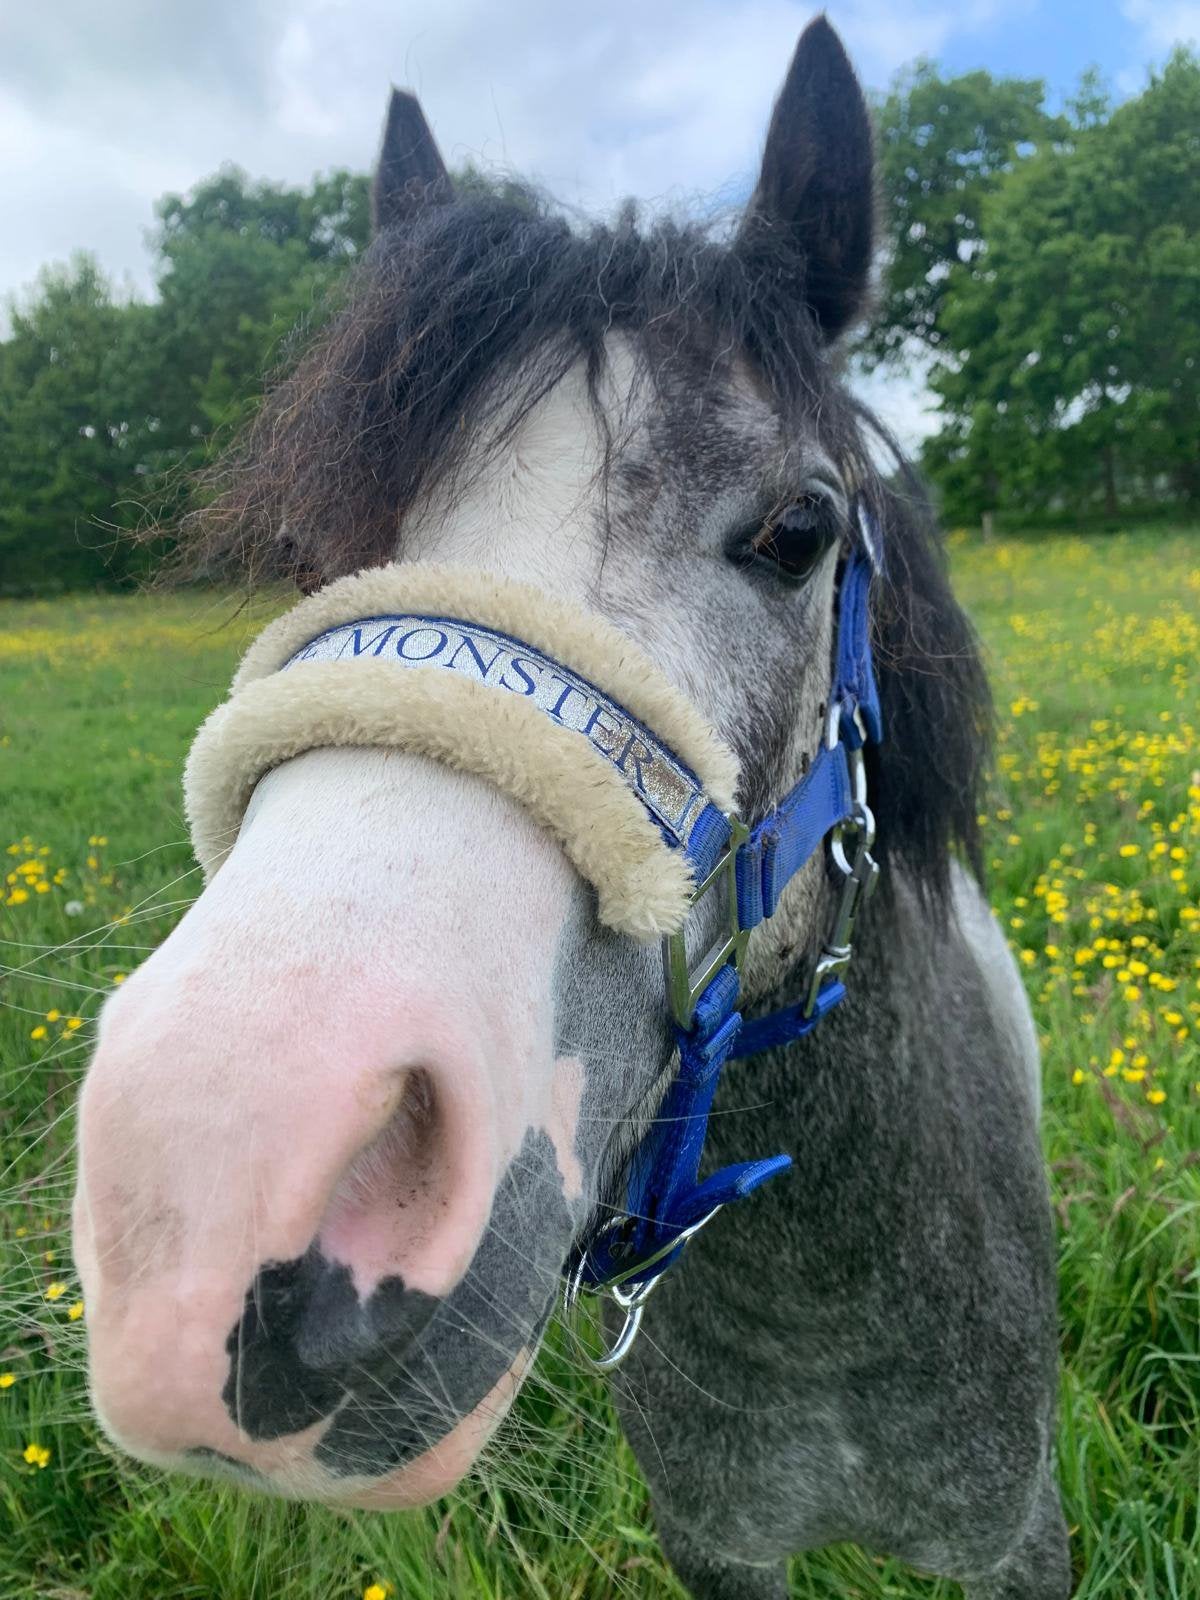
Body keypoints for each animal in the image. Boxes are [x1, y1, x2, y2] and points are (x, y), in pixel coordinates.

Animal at [72, 17, 1071, 1598]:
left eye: (800, 533)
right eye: (301, 553)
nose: (217, 1175)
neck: (825, 1294)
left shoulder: (1015, 1537)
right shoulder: (721, 1545)